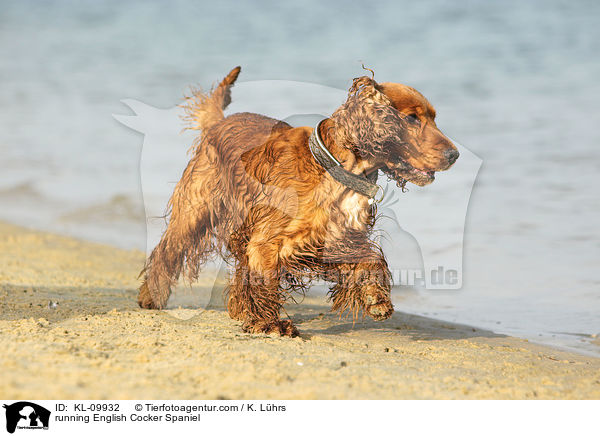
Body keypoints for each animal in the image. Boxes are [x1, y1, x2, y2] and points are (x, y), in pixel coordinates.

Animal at [138, 66, 458, 336]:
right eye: (412, 118)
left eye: (434, 118)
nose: (454, 155)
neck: (335, 171)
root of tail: (218, 123)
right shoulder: (268, 241)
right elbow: (265, 282)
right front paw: (269, 324)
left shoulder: (339, 238)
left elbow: (370, 259)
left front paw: (375, 297)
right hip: (194, 211)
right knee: (167, 252)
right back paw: (152, 297)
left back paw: (239, 309)